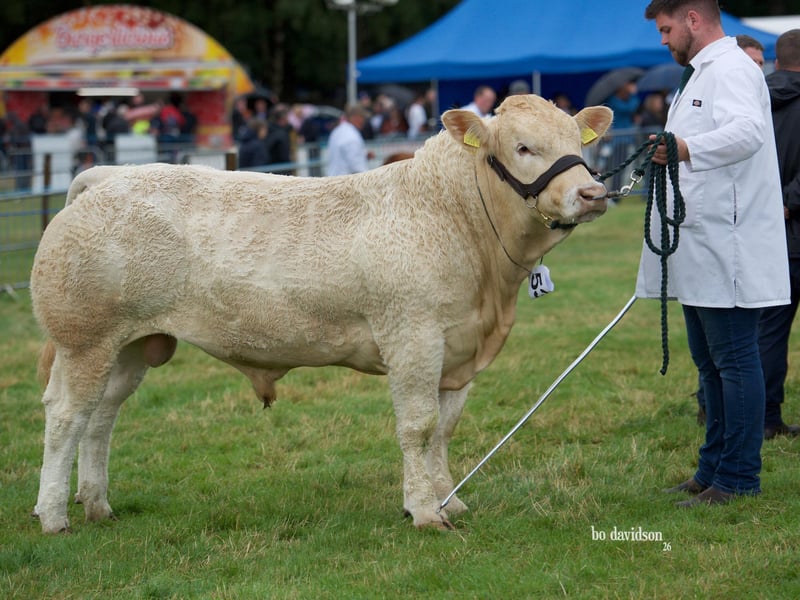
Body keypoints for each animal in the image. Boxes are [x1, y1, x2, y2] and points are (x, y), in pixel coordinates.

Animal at [30, 94, 612, 533]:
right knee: (66, 416)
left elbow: (445, 430)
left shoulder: (458, 350)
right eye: (523, 147)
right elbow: (418, 427)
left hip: (129, 344)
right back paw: (55, 515)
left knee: (101, 416)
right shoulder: (414, 339)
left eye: (578, 143)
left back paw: (97, 503)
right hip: (85, 339)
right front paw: (425, 511)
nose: (592, 192)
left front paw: (450, 499)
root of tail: (109, 177)